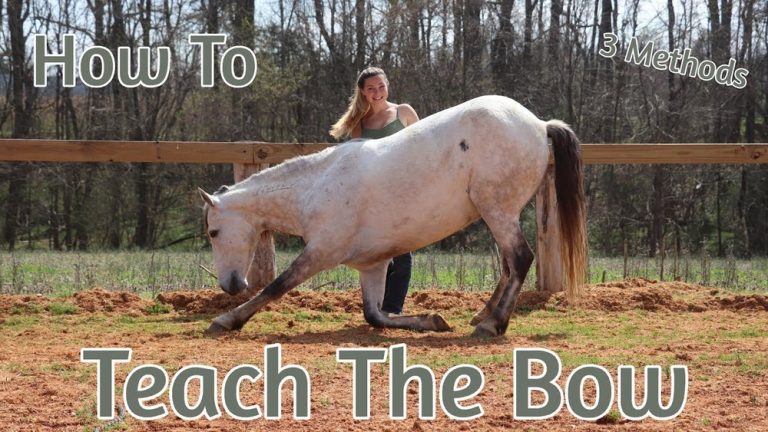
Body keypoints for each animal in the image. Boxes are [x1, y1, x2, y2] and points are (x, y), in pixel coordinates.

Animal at [199, 95, 587, 337]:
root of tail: (538, 124)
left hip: (498, 211)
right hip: (497, 214)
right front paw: (431, 320)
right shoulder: (372, 265)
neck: (315, 187)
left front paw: (227, 319)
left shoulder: (321, 252)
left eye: (213, 232)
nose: (231, 285)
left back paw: (492, 325)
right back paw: (484, 314)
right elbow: (375, 315)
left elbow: (277, 286)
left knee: (519, 259)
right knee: (508, 265)